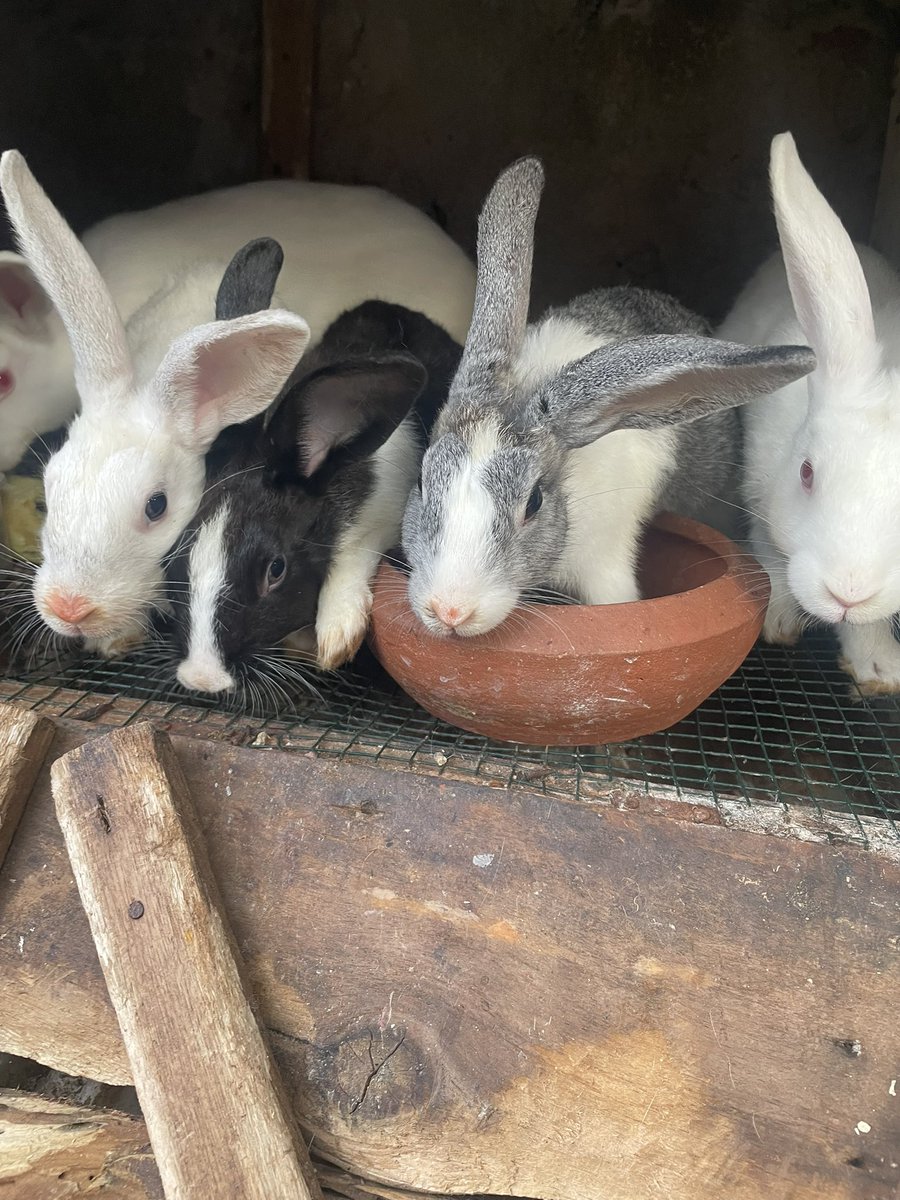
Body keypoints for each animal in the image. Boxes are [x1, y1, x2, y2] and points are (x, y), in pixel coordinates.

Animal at [169, 299, 462, 694]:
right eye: (178, 554)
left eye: (276, 570)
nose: (202, 678)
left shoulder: (382, 519)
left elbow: (352, 557)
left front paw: (335, 637)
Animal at [719, 132, 900, 695]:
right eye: (806, 473)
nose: (848, 593)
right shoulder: (759, 485)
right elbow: (769, 553)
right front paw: (777, 619)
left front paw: (880, 670)